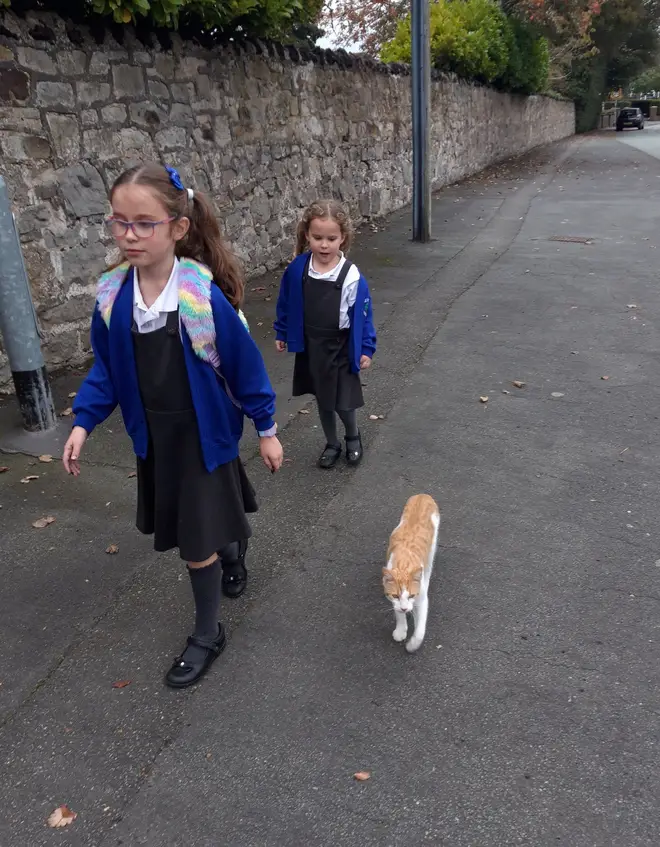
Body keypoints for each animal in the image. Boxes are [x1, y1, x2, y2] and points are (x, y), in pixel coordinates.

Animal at [382, 494, 438, 652]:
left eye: (412, 595)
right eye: (395, 595)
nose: (405, 608)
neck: (404, 566)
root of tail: (423, 495)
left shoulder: (422, 599)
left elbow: (420, 631)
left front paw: (412, 645)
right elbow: (397, 611)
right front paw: (401, 630)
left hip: (432, 546)